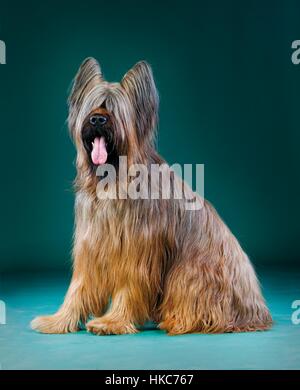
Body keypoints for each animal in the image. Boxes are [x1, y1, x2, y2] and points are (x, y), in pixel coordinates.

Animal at [31, 58, 274, 336]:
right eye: (93, 106)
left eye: (115, 110)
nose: (97, 119)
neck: (113, 179)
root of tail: (257, 310)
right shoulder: (90, 245)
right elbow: (78, 287)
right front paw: (58, 320)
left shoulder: (137, 252)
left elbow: (128, 285)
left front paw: (112, 322)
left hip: (191, 270)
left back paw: (176, 321)